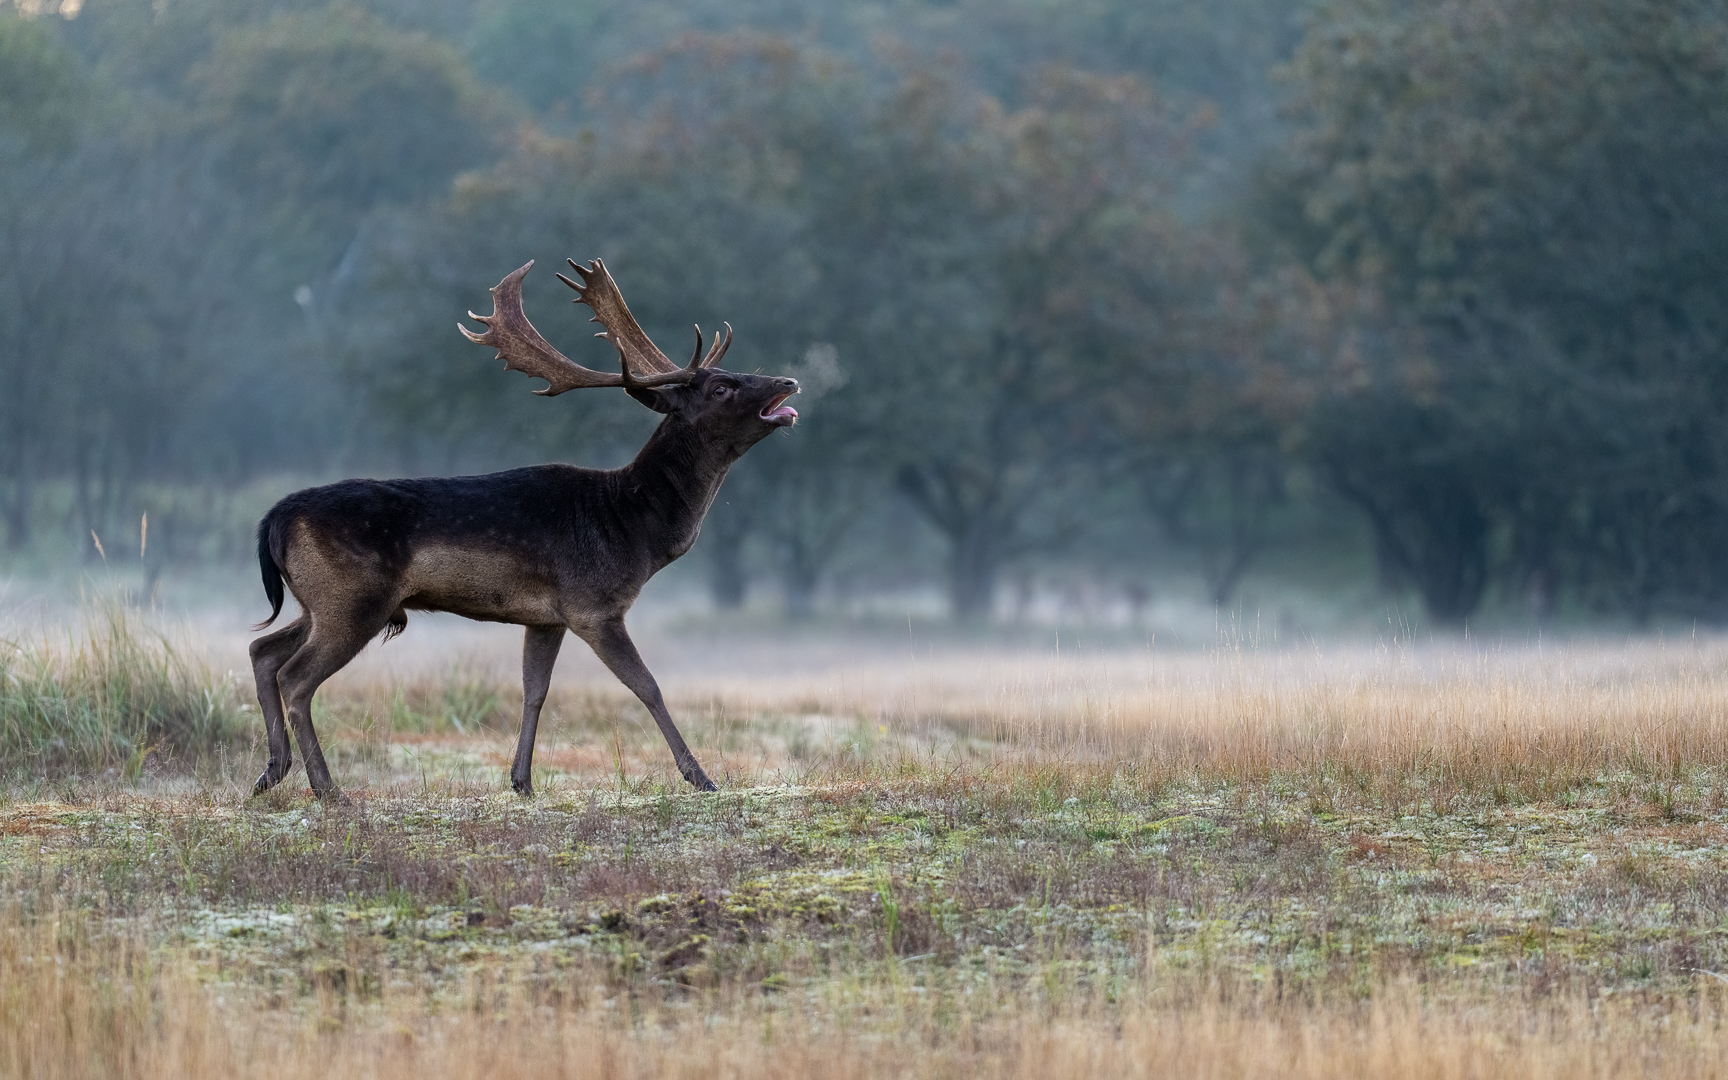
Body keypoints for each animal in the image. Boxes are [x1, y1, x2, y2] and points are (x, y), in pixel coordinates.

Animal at [247, 257, 798, 801]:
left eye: (732, 372)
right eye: (720, 388)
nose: (788, 382)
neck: (633, 526)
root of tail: (274, 519)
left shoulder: (546, 617)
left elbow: (535, 690)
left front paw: (522, 781)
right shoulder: (593, 606)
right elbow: (648, 687)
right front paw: (701, 777)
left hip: (321, 602)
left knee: (262, 650)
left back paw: (271, 772)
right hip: (351, 600)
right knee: (296, 677)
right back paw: (326, 789)